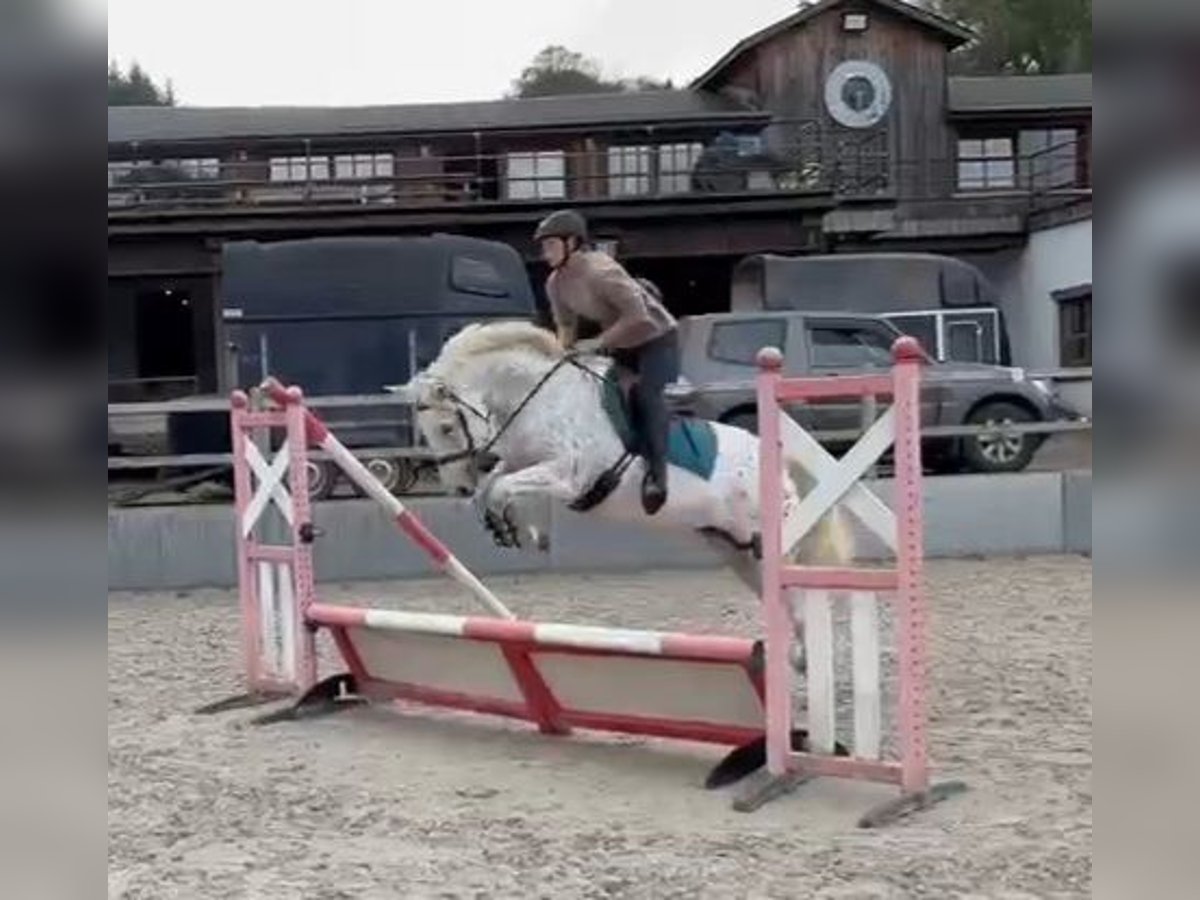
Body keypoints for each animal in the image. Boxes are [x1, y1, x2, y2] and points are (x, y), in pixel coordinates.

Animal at [391, 321, 854, 614]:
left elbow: (504, 486)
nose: (457, 489)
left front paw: (509, 525)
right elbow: (499, 483)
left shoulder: (569, 476)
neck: (539, 397)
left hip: (771, 542)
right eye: (427, 432)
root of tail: (781, 463)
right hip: (734, 546)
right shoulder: (522, 461)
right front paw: (515, 529)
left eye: (447, 427)